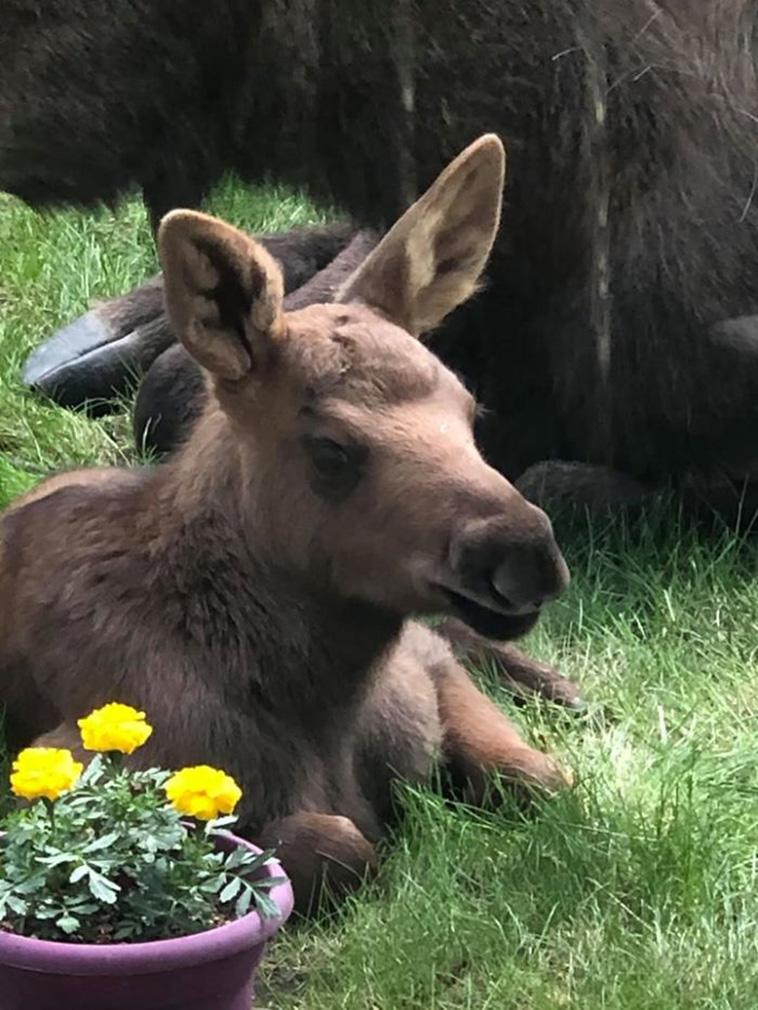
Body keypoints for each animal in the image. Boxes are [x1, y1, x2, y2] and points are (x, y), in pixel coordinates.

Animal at [0, 137, 574, 910]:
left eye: (468, 407)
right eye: (331, 449)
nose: (525, 552)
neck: (323, 706)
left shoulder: (427, 670)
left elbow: (544, 778)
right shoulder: (61, 776)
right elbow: (342, 844)